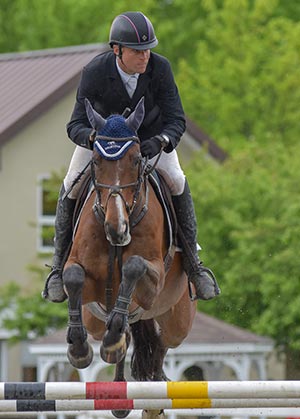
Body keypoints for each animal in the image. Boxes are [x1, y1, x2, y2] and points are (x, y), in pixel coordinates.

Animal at [62, 97, 197, 419]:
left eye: (136, 159)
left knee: (161, 341)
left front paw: (112, 338)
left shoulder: (154, 279)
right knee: (122, 335)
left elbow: (134, 268)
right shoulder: (83, 276)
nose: (117, 227)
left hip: (176, 319)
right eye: (96, 162)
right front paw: (79, 349)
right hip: (95, 317)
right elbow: (72, 275)